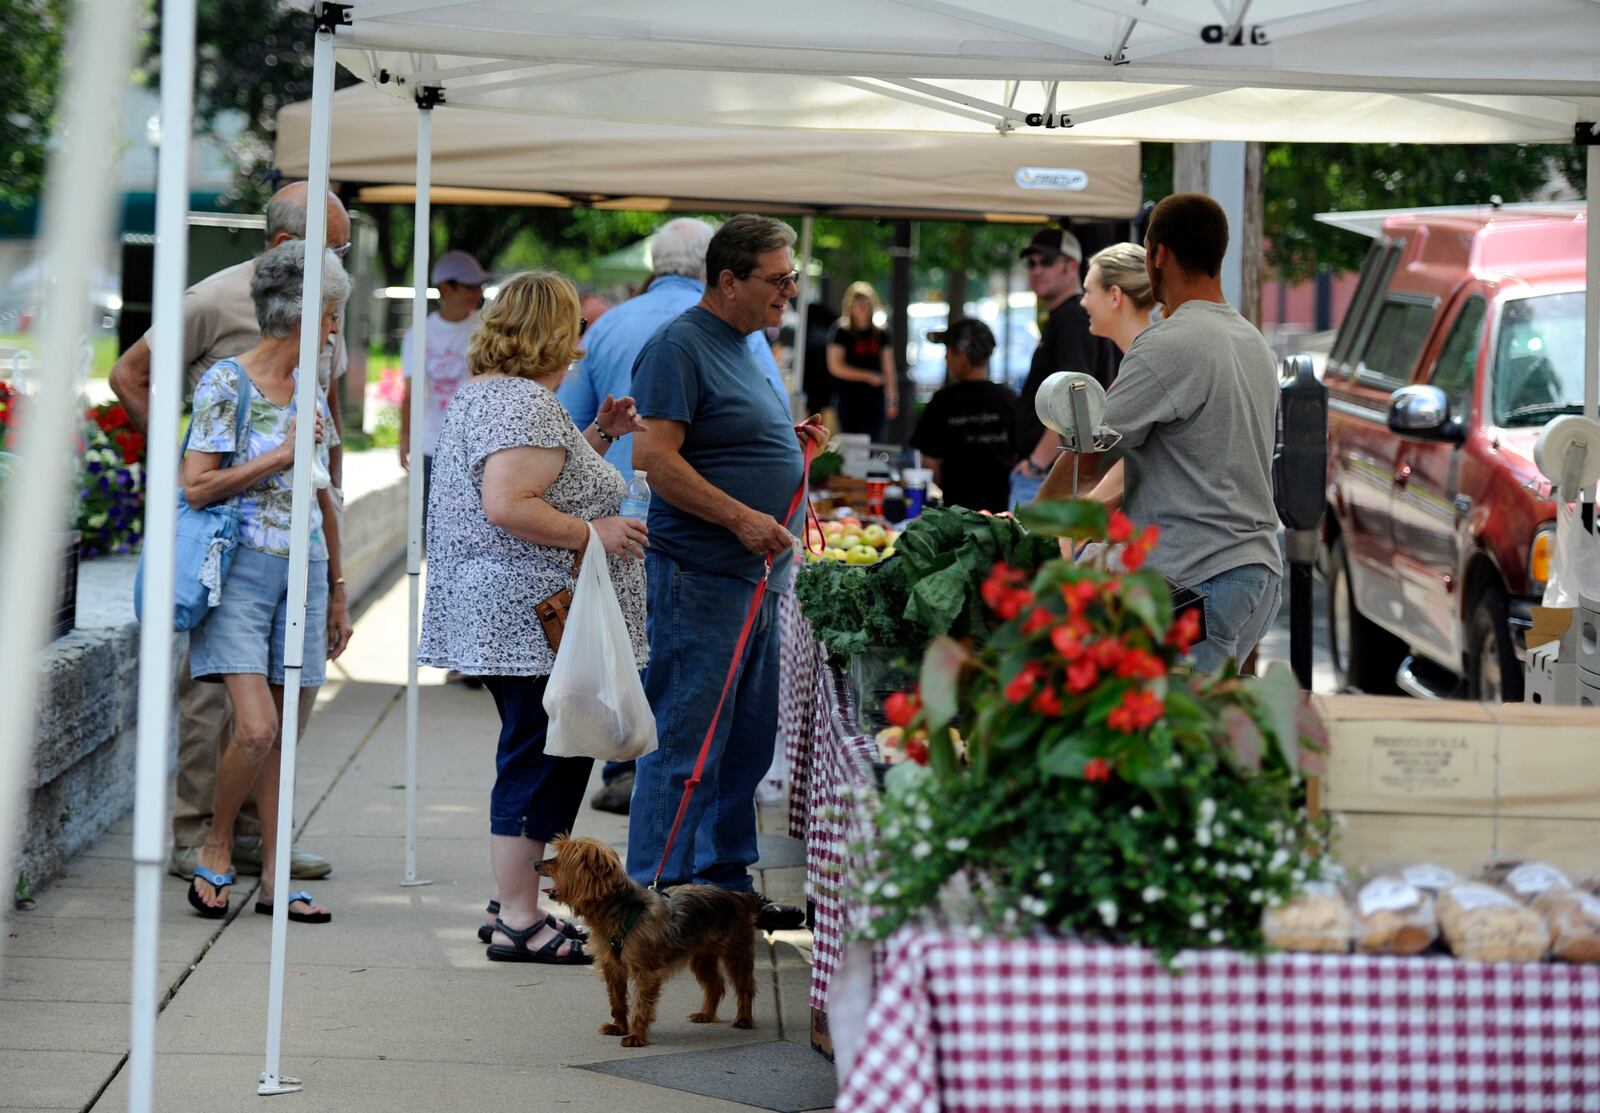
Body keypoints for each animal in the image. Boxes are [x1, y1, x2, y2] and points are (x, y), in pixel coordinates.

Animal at [537, 831, 761, 1042]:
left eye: (561, 859)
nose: (536, 863)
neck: (618, 911)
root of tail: (737, 896)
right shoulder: (613, 967)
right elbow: (617, 1000)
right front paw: (619, 1027)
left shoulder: (645, 972)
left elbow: (641, 1005)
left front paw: (636, 1036)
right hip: (702, 956)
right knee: (715, 984)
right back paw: (705, 1014)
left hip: (736, 952)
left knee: (744, 986)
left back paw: (743, 1019)